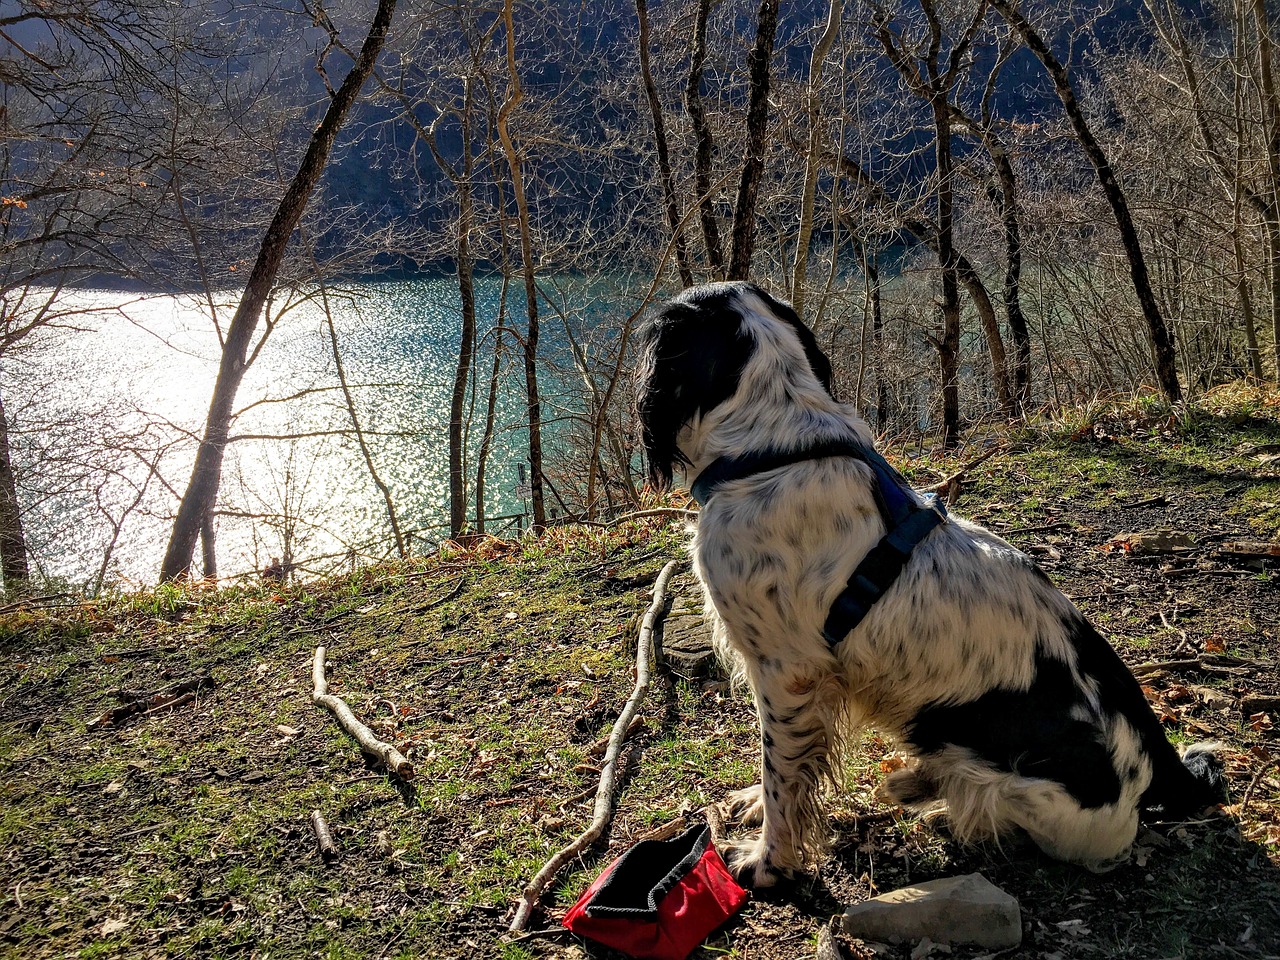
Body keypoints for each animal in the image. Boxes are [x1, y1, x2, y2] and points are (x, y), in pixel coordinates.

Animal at [634, 281, 1223, 890]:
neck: (773, 451)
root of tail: (1161, 767)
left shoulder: (787, 673)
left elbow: (784, 778)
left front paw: (769, 862)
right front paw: (755, 805)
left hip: (1015, 782)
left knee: (992, 805)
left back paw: (934, 803)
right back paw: (911, 783)